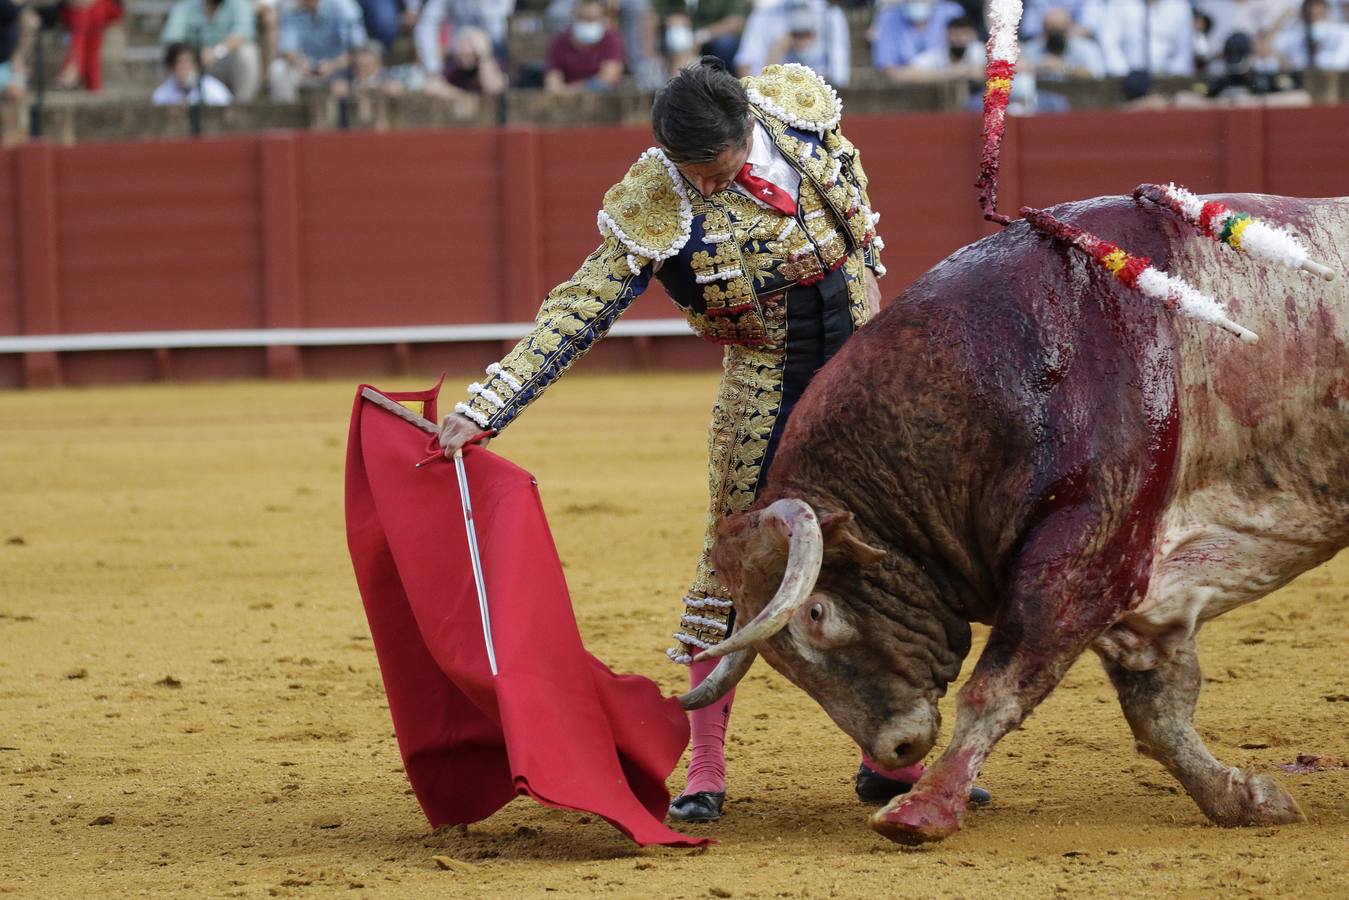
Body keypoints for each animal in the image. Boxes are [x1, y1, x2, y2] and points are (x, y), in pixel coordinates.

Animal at [685, 191, 1349, 847]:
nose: (895, 747)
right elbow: (1158, 712)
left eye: (817, 613)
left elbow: (997, 687)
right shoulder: (1142, 587)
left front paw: (919, 811)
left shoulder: (1087, 555)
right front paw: (1245, 799)